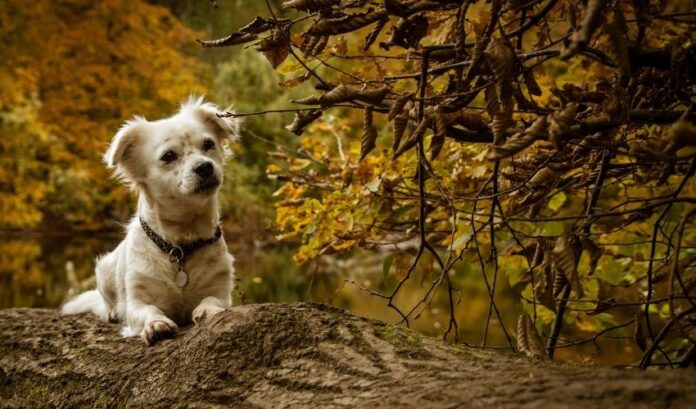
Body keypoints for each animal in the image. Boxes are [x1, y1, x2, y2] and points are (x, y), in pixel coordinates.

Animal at [63, 98, 242, 344]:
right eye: (168, 156)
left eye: (208, 144)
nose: (205, 166)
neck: (181, 244)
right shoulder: (137, 302)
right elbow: (148, 310)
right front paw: (156, 324)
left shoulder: (221, 289)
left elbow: (213, 300)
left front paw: (208, 310)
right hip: (104, 269)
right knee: (107, 301)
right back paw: (111, 312)